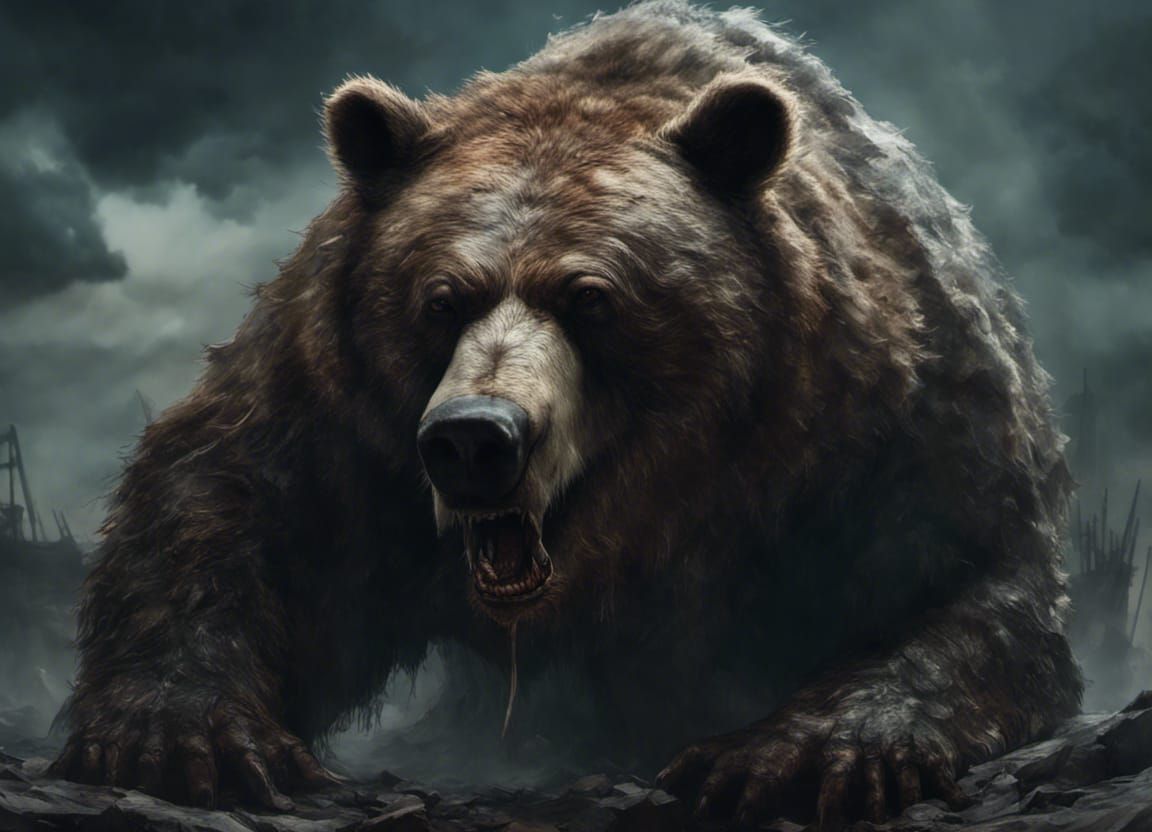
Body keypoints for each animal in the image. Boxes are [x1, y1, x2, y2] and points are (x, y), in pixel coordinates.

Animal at [54, 1, 1082, 828]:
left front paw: (791, 755)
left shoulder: (876, 417)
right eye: (440, 298)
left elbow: (967, 584)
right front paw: (184, 735)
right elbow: (225, 496)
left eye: (592, 298)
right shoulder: (340, 402)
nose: (474, 438)